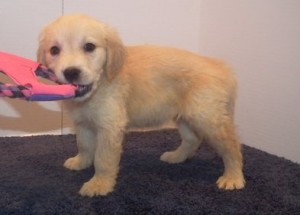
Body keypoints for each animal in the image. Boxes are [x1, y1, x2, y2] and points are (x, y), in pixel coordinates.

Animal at [37, 14, 245, 197]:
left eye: (89, 47)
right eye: (54, 50)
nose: (71, 72)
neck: (99, 85)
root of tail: (220, 66)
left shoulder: (110, 126)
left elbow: (103, 159)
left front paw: (100, 184)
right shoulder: (83, 123)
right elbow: (84, 145)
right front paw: (81, 162)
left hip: (208, 118)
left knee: (232, 146)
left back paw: (233, 177)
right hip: (185, 115)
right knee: (193, 139)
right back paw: (176, 157)